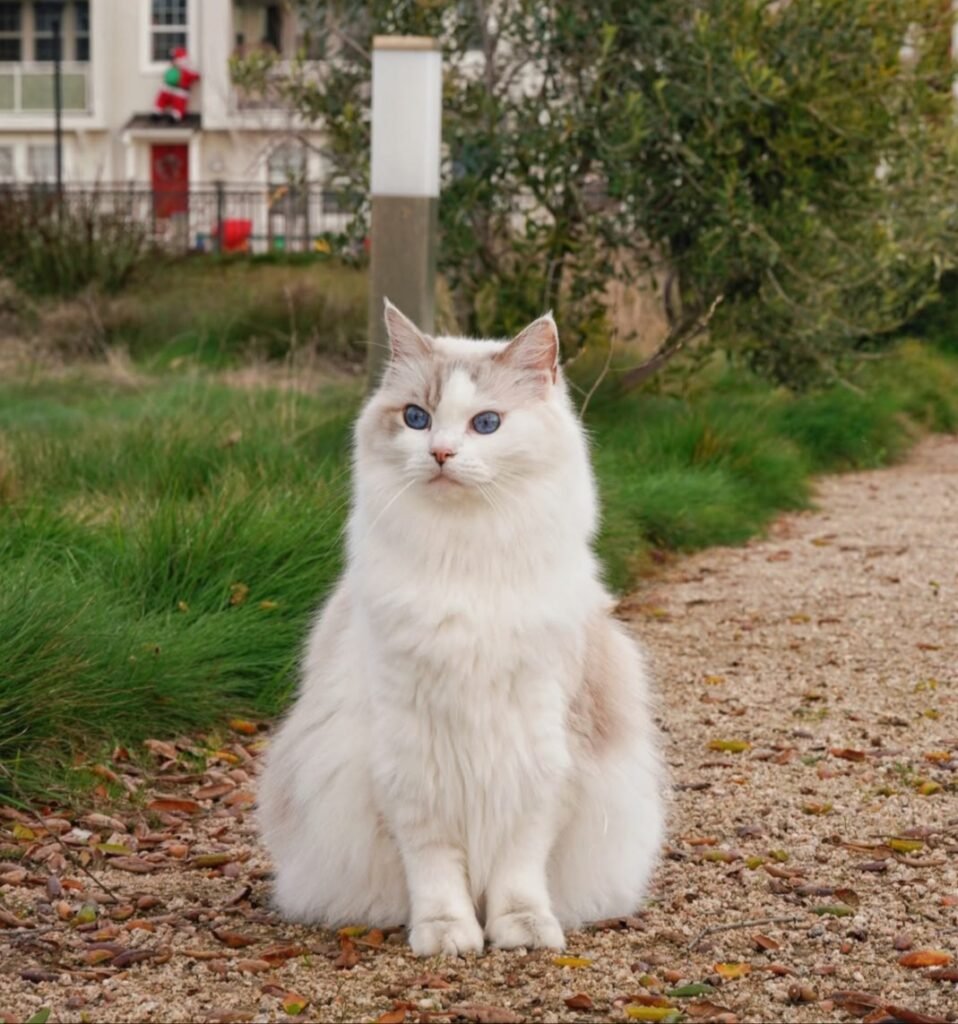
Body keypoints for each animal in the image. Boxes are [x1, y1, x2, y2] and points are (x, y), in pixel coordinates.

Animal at [259, 299, 667, 954]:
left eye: (487, 424)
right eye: (417, 418)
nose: (442, 454)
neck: (464, 558)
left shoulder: (538, 750)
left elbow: (519, 866)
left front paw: (522, 930)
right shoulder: (410, 758)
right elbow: (435, 869)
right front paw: (447, 934)